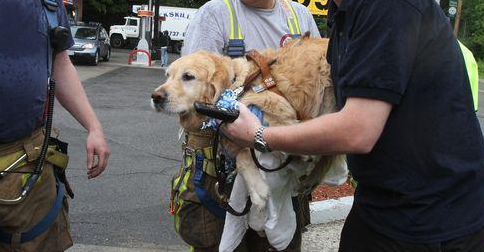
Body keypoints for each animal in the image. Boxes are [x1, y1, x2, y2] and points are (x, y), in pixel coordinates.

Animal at [151, 37, 336, 211]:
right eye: (167, 75)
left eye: (188, 76)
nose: (155, 97)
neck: (237, 86)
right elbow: (242, 155)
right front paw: (257, 188)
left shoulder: (280, 113)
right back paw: (309, 181)